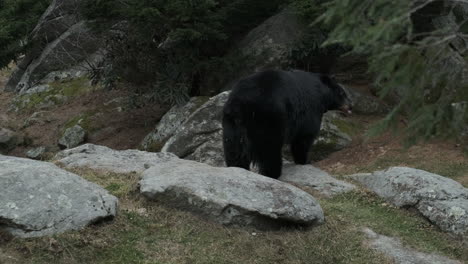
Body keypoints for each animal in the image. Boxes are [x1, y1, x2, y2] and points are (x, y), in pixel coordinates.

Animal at [223, 69, 352, 178]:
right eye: (342, 93)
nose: (350, 106)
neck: (321, 93)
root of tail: (240, 104)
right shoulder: (310, 109)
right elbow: (304, 137)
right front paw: (304, 161)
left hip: (231, 124)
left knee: (234, 149)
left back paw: (238, 167)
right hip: (268, 118)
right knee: (269, 150)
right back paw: (273, 173)